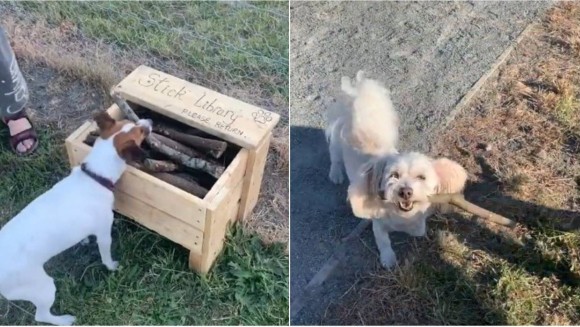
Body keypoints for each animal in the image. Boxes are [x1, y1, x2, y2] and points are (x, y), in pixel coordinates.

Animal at [0, 111, 152, 326]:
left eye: (130, 123)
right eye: (141, 133)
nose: (150, 121)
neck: (94, 176)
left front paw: (84, 240)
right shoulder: (104, 234)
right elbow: (106, 256)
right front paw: (112, 266)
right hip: (42, 287)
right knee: (41, 315)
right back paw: (65, 320)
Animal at [326, 71, 466, 270]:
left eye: (421, 177)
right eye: (394, 175)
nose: (405, 191)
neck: (401, 216)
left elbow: (418, 228)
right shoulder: (378, 224)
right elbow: (383, 241)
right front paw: (388, 259)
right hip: (338, 143)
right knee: (335, 157)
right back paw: (335, 174)